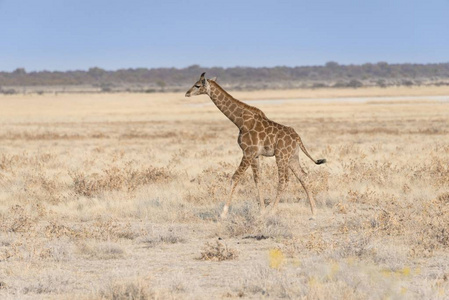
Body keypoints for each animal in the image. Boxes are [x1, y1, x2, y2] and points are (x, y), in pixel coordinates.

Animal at [184, 72, 324, 218]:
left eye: (197, 85)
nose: (187, 93)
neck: (240, 121)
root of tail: (298, 138)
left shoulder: (247, 152)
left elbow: (235, 178)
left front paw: (223, 213)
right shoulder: (255, 155)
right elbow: (257, 180)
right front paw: (261, 211)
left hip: (281, 156)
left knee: (284, 181)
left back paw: (273, 211)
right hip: (292, 157)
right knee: (303, 176)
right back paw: (314, 211)